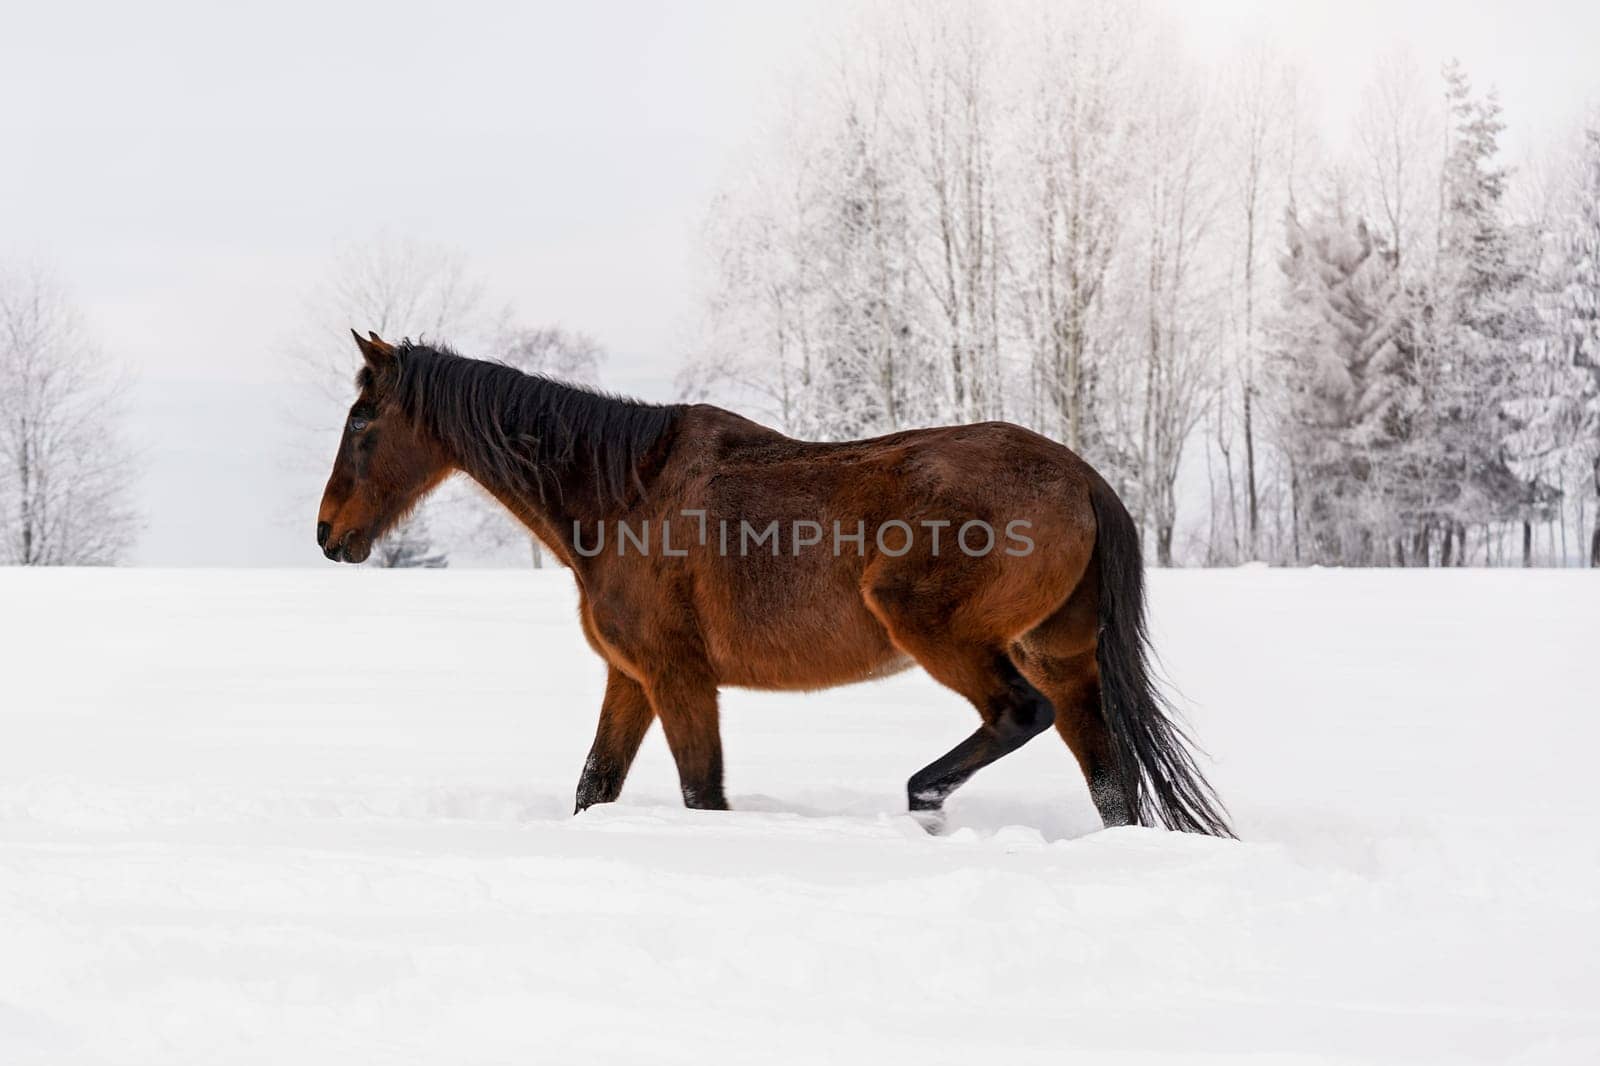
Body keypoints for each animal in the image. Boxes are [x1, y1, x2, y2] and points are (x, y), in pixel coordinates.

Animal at [318, 328, 1228, 832]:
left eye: (361, 421)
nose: (328, 534)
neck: (622, 494)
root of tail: (1082, 477)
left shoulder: (680, 678)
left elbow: (702, 793)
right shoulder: (631, 678)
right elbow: (593, 786)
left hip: (942, 633)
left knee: (1018, 716)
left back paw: (923, 799)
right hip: (1062, 658)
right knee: (1108, 782)